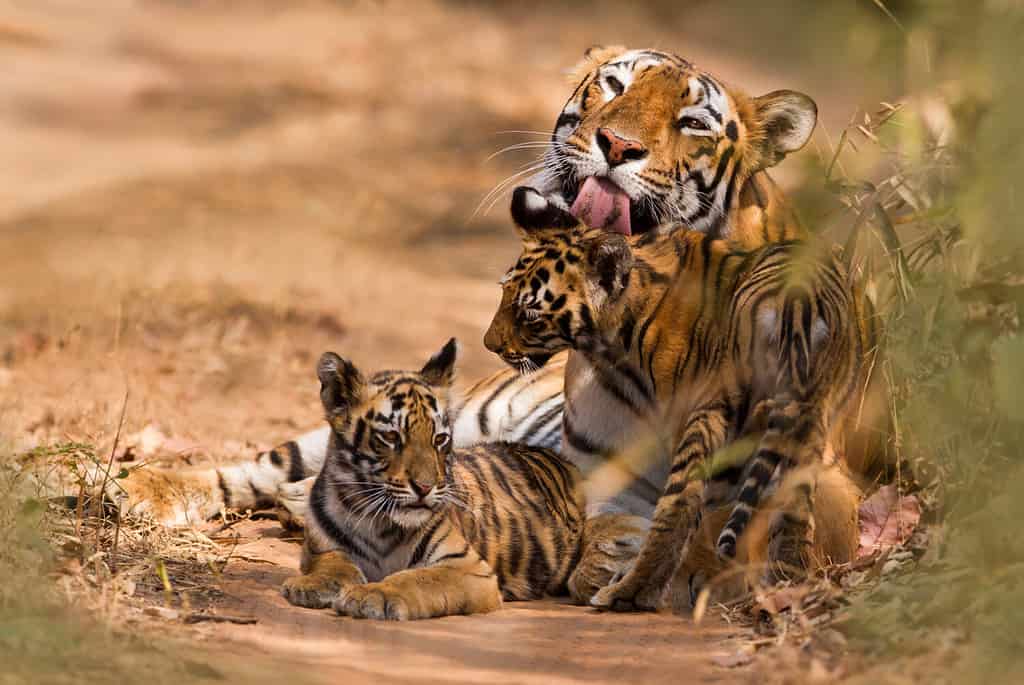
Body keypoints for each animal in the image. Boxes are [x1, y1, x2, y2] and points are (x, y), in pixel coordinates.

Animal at [281, 338, 586, 620]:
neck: (375, 522)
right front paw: (310, 585)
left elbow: (416, 578)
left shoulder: (468, 568)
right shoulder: (320, 548)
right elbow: (333, 563)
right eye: (391, 436)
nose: (425, 487)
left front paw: (373, 594)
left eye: (439, 439)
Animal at [482, 185, 882, 611]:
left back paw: (630, 592)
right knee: (792, 508)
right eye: (504, 293)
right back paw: (786, 581)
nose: (489, 344)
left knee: (683, 508)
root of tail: (797, 301)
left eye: (529, 314)